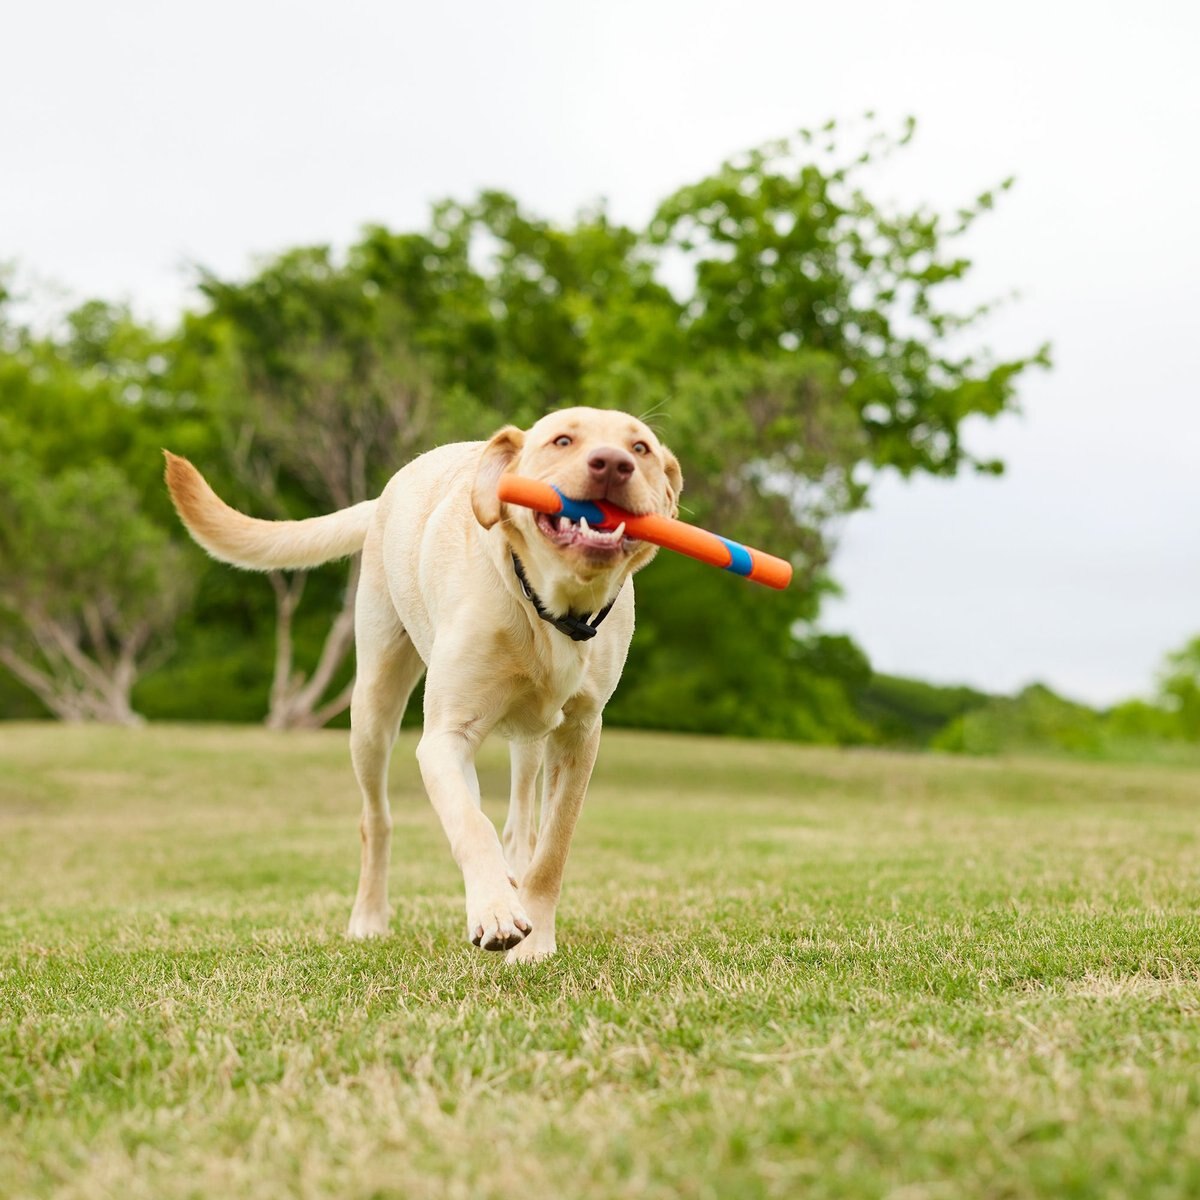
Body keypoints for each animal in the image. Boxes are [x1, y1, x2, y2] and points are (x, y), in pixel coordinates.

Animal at [164, 408, 681, 960]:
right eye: (562, 440)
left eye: (641, 448)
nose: (614, 465)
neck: (550, 608)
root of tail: (388, 490)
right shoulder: (444, 737)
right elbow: (470, 824)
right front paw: (495, 912)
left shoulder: (579, 734)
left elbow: (552, 848)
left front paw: (534, 940)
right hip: (373, 707)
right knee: (378, 819)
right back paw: (371, 917)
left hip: (530, 740)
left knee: (520, 822)